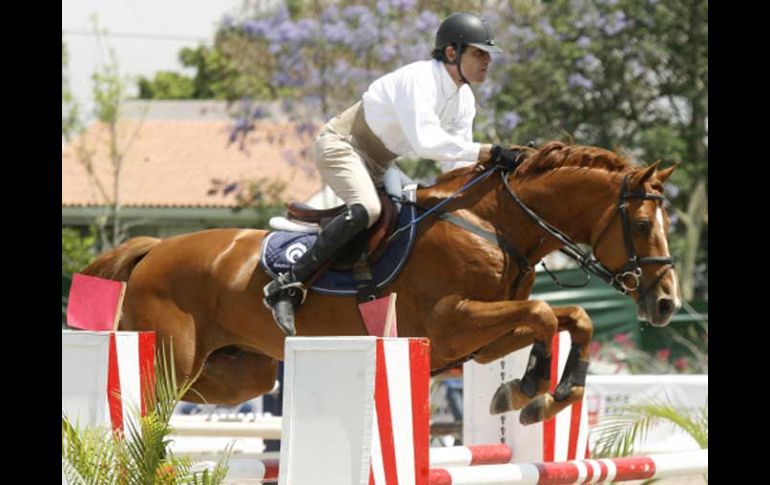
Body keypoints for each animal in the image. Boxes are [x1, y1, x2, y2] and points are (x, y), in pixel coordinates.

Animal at [81, 141, 680, 424]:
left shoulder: (478, 343)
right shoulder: (451, 323)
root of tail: (155, 249)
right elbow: (542, 315)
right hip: (175, 355)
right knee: (150, 402)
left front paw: (544, 395)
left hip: (239, 374)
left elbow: (570, 317)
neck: (493, 225)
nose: (667, 304)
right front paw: (529, 390)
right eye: (642, 224)